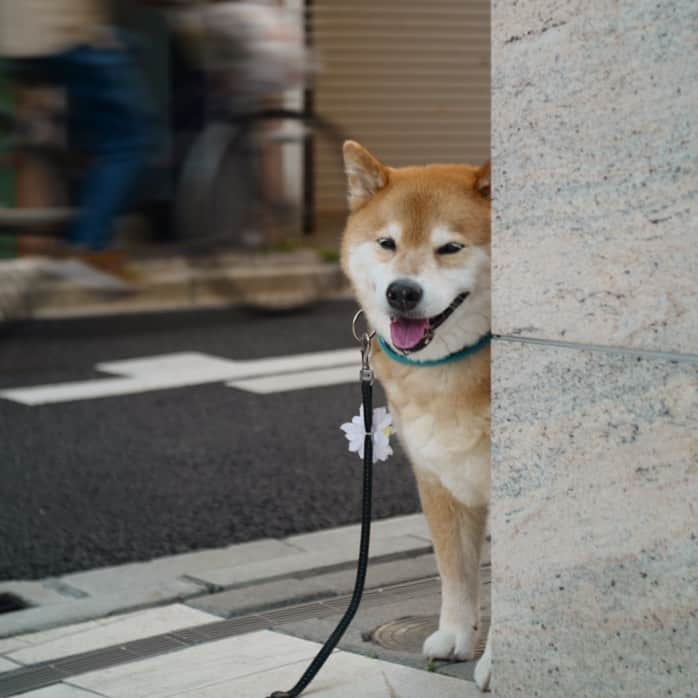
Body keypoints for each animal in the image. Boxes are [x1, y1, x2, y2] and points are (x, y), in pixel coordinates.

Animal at [340, 140, 492, 684]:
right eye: (387, 243)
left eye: (450, 248)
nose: (402, 291)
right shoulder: (437, 476)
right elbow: (455, 572)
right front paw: (455, 638)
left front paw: (498, 663)